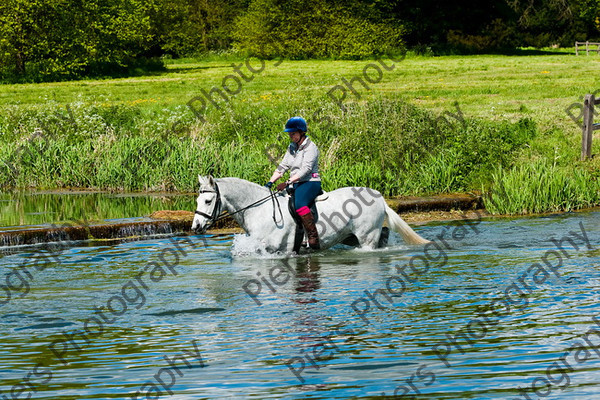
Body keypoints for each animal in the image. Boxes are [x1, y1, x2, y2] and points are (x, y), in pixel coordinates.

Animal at [192, 176, 432, 253]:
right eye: (197, 201)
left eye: (207, 201)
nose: (195, 227)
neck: (259, 210)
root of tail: (379, 197)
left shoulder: (276, 249)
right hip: (350, 236)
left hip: (366, 237)